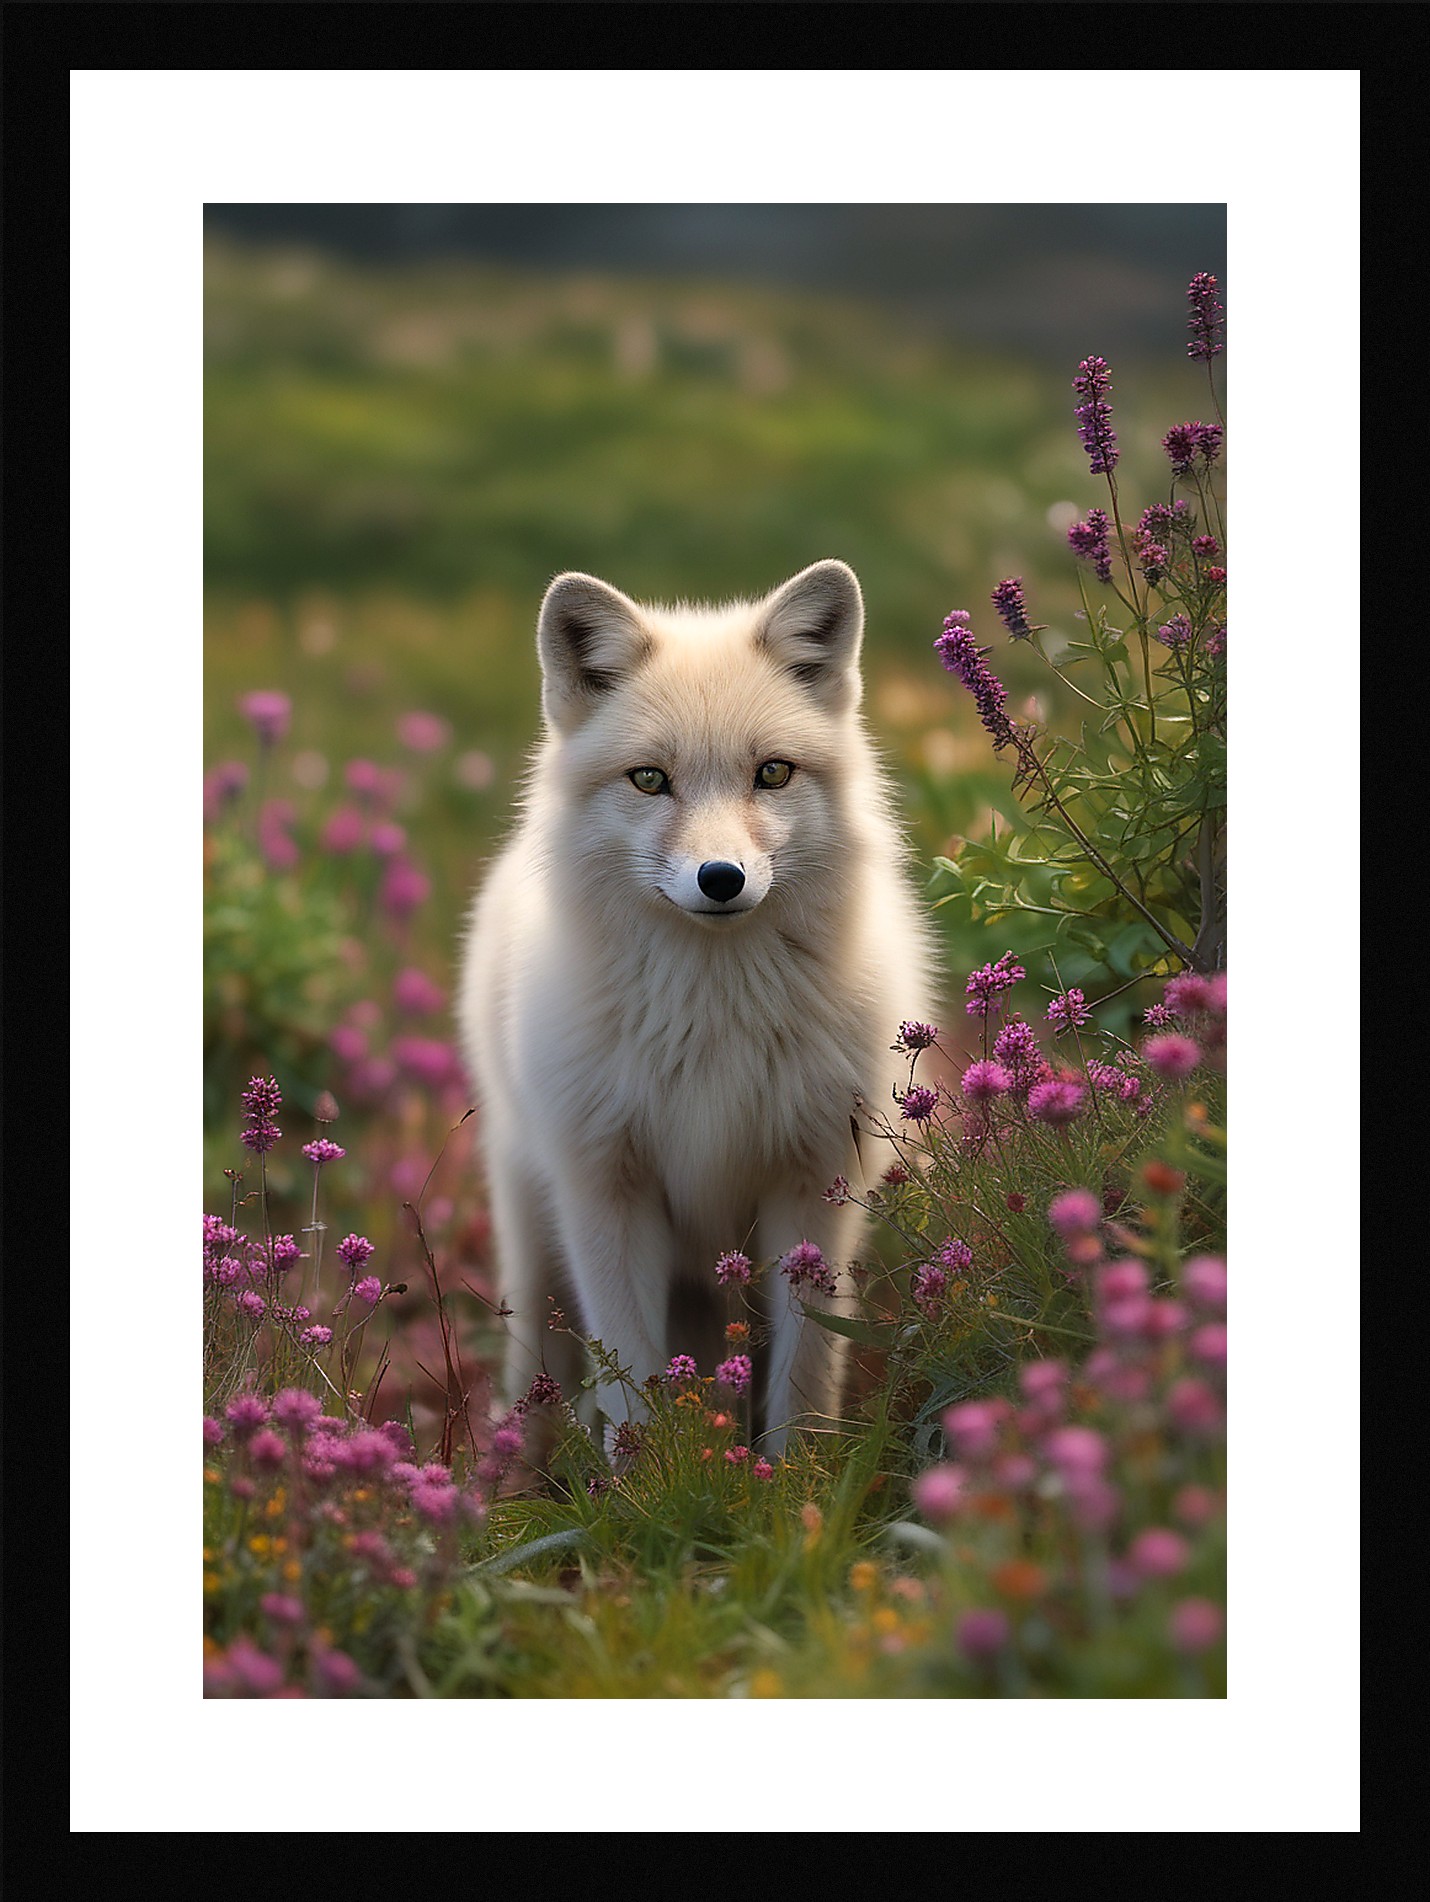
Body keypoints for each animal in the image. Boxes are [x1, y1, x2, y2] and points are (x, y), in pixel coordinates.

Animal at [458, 558, 939, 1454]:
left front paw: (793, 1480)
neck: (713, 1022)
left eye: (772, 772)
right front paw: (651, 1480)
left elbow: (805, 1380)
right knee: (538, 1366)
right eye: (651, 778)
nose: (722, 879)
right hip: (534, 1229)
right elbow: (631, 1389)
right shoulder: (605, 1190)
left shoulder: (814, 1185)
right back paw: (510, 1472)